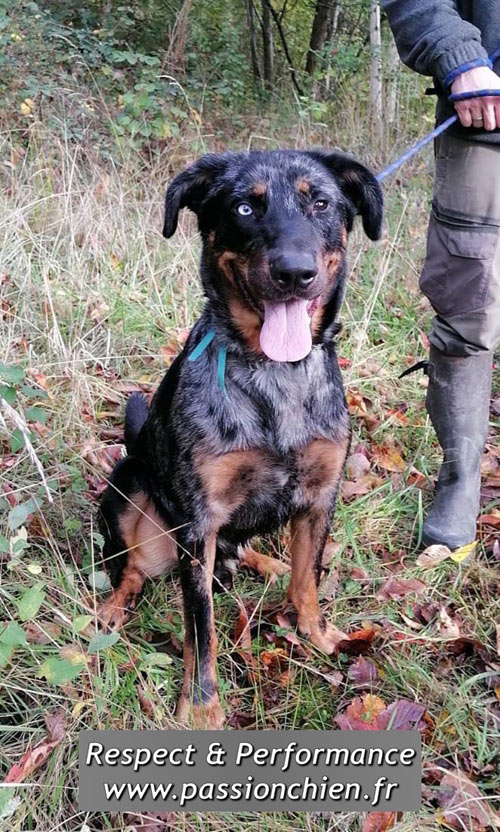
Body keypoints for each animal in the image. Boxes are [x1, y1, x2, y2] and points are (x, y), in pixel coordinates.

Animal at [96, 150, 382, 728]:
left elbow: (307, 581)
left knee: (249, 553)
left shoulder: (320, 496)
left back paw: (268, 562)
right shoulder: (199, 521)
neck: (276, 373)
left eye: (322, 203)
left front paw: (318, 636)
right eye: (245, 207)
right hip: (126, 489)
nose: (294, 272)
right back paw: (112, 611)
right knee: (133, 572)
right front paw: (202, 706)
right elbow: (200, 627)